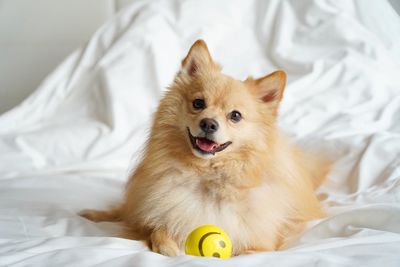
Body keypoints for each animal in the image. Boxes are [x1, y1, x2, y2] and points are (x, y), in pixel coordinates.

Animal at [79, 39, 330, 258]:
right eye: (198, 103)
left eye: (235, 116)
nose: (208, 123)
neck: (207, 175)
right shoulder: (154, 213)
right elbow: (156, 229)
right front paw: (167, 246)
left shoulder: (262, 242)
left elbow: (251, 251)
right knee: (124, 210)